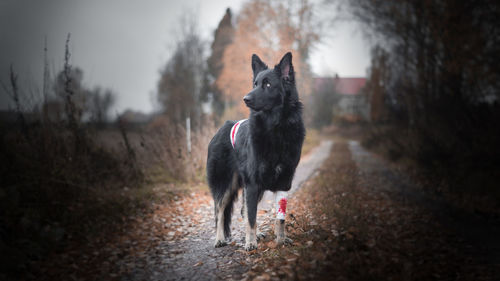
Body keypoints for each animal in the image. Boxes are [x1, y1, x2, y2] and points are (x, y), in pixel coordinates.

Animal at [206, 51, 304, 248]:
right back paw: (220, 239)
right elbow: (251, 218)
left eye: (268, 84)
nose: (245, 99)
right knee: (219, 211)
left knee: (243, 210)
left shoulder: (283, 182)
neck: (276, 128)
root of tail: (222, 128)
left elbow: (279, 218)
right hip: (226, 184)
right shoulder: (252, 183)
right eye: (255, 84)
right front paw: (250, 244)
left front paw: (280, 240)